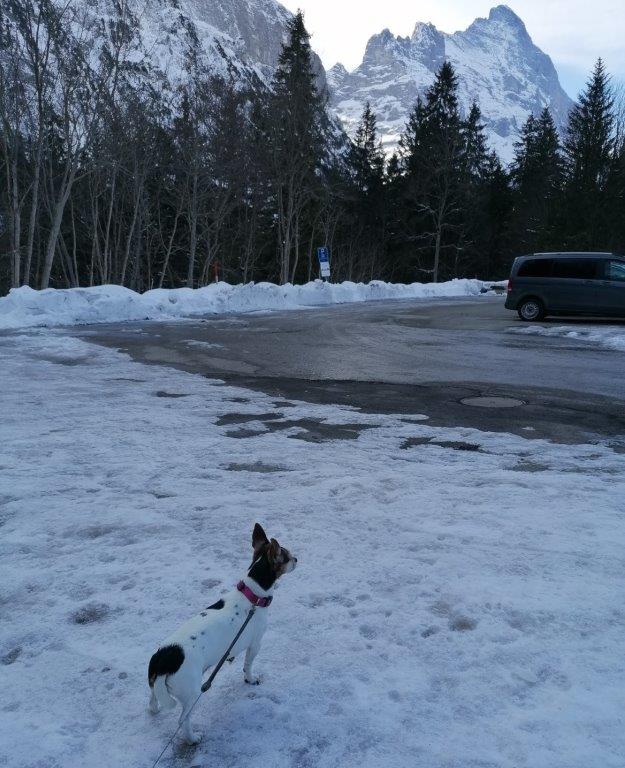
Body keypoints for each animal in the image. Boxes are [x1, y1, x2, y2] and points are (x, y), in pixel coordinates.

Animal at [147, 523, 297, 744]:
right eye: (286, 556)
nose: (297, 558)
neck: (252, 596)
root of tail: (164, 659)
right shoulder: (255, 644)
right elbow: (248, 666)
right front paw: (250, 679)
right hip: (192, 693)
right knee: (183, 719)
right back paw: (192, 738)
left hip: (156, 686)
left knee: (152, 700)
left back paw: (154, 710)